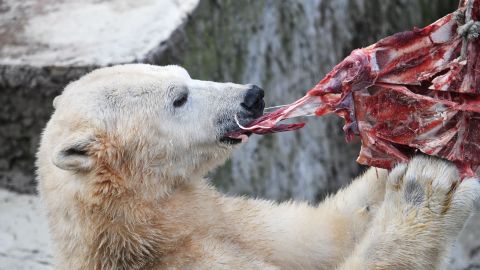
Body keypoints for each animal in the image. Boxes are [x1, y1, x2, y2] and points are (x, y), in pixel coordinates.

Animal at [36, 63, 480, 270]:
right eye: (179, 98)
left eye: (184, 73)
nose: (252, 96)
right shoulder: (183, 259)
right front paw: (430, 190)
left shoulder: (221, 218)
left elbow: (318, 237)